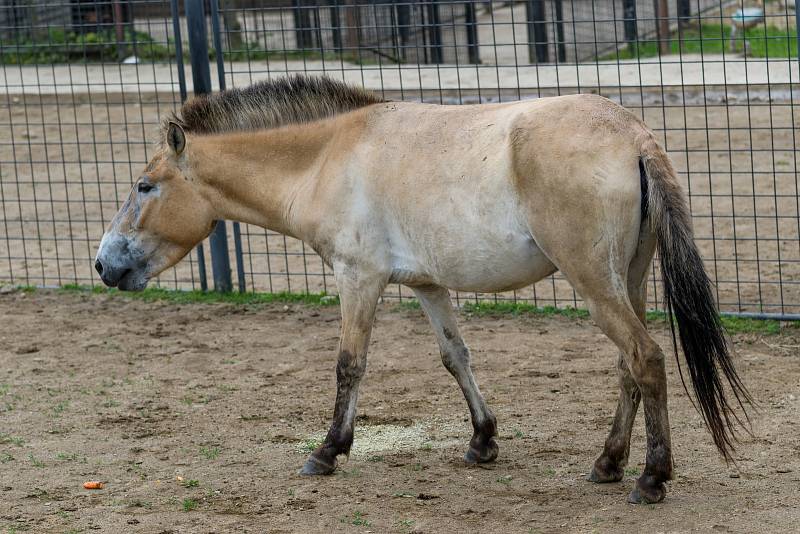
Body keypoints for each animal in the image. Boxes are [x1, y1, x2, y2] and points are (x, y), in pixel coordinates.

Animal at [94, 76, 752, 506]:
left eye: (145, 186)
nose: (103, 264)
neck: (328, 156)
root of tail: (632, 134)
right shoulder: (428, 286)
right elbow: (456, 358)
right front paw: (483, 441)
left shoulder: (357, 279)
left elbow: (349, 365)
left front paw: (328, 452)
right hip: (627, 279)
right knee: (628, 368)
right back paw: (608, 463)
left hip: (595, 283)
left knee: (646, 359)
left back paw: (650, 478)